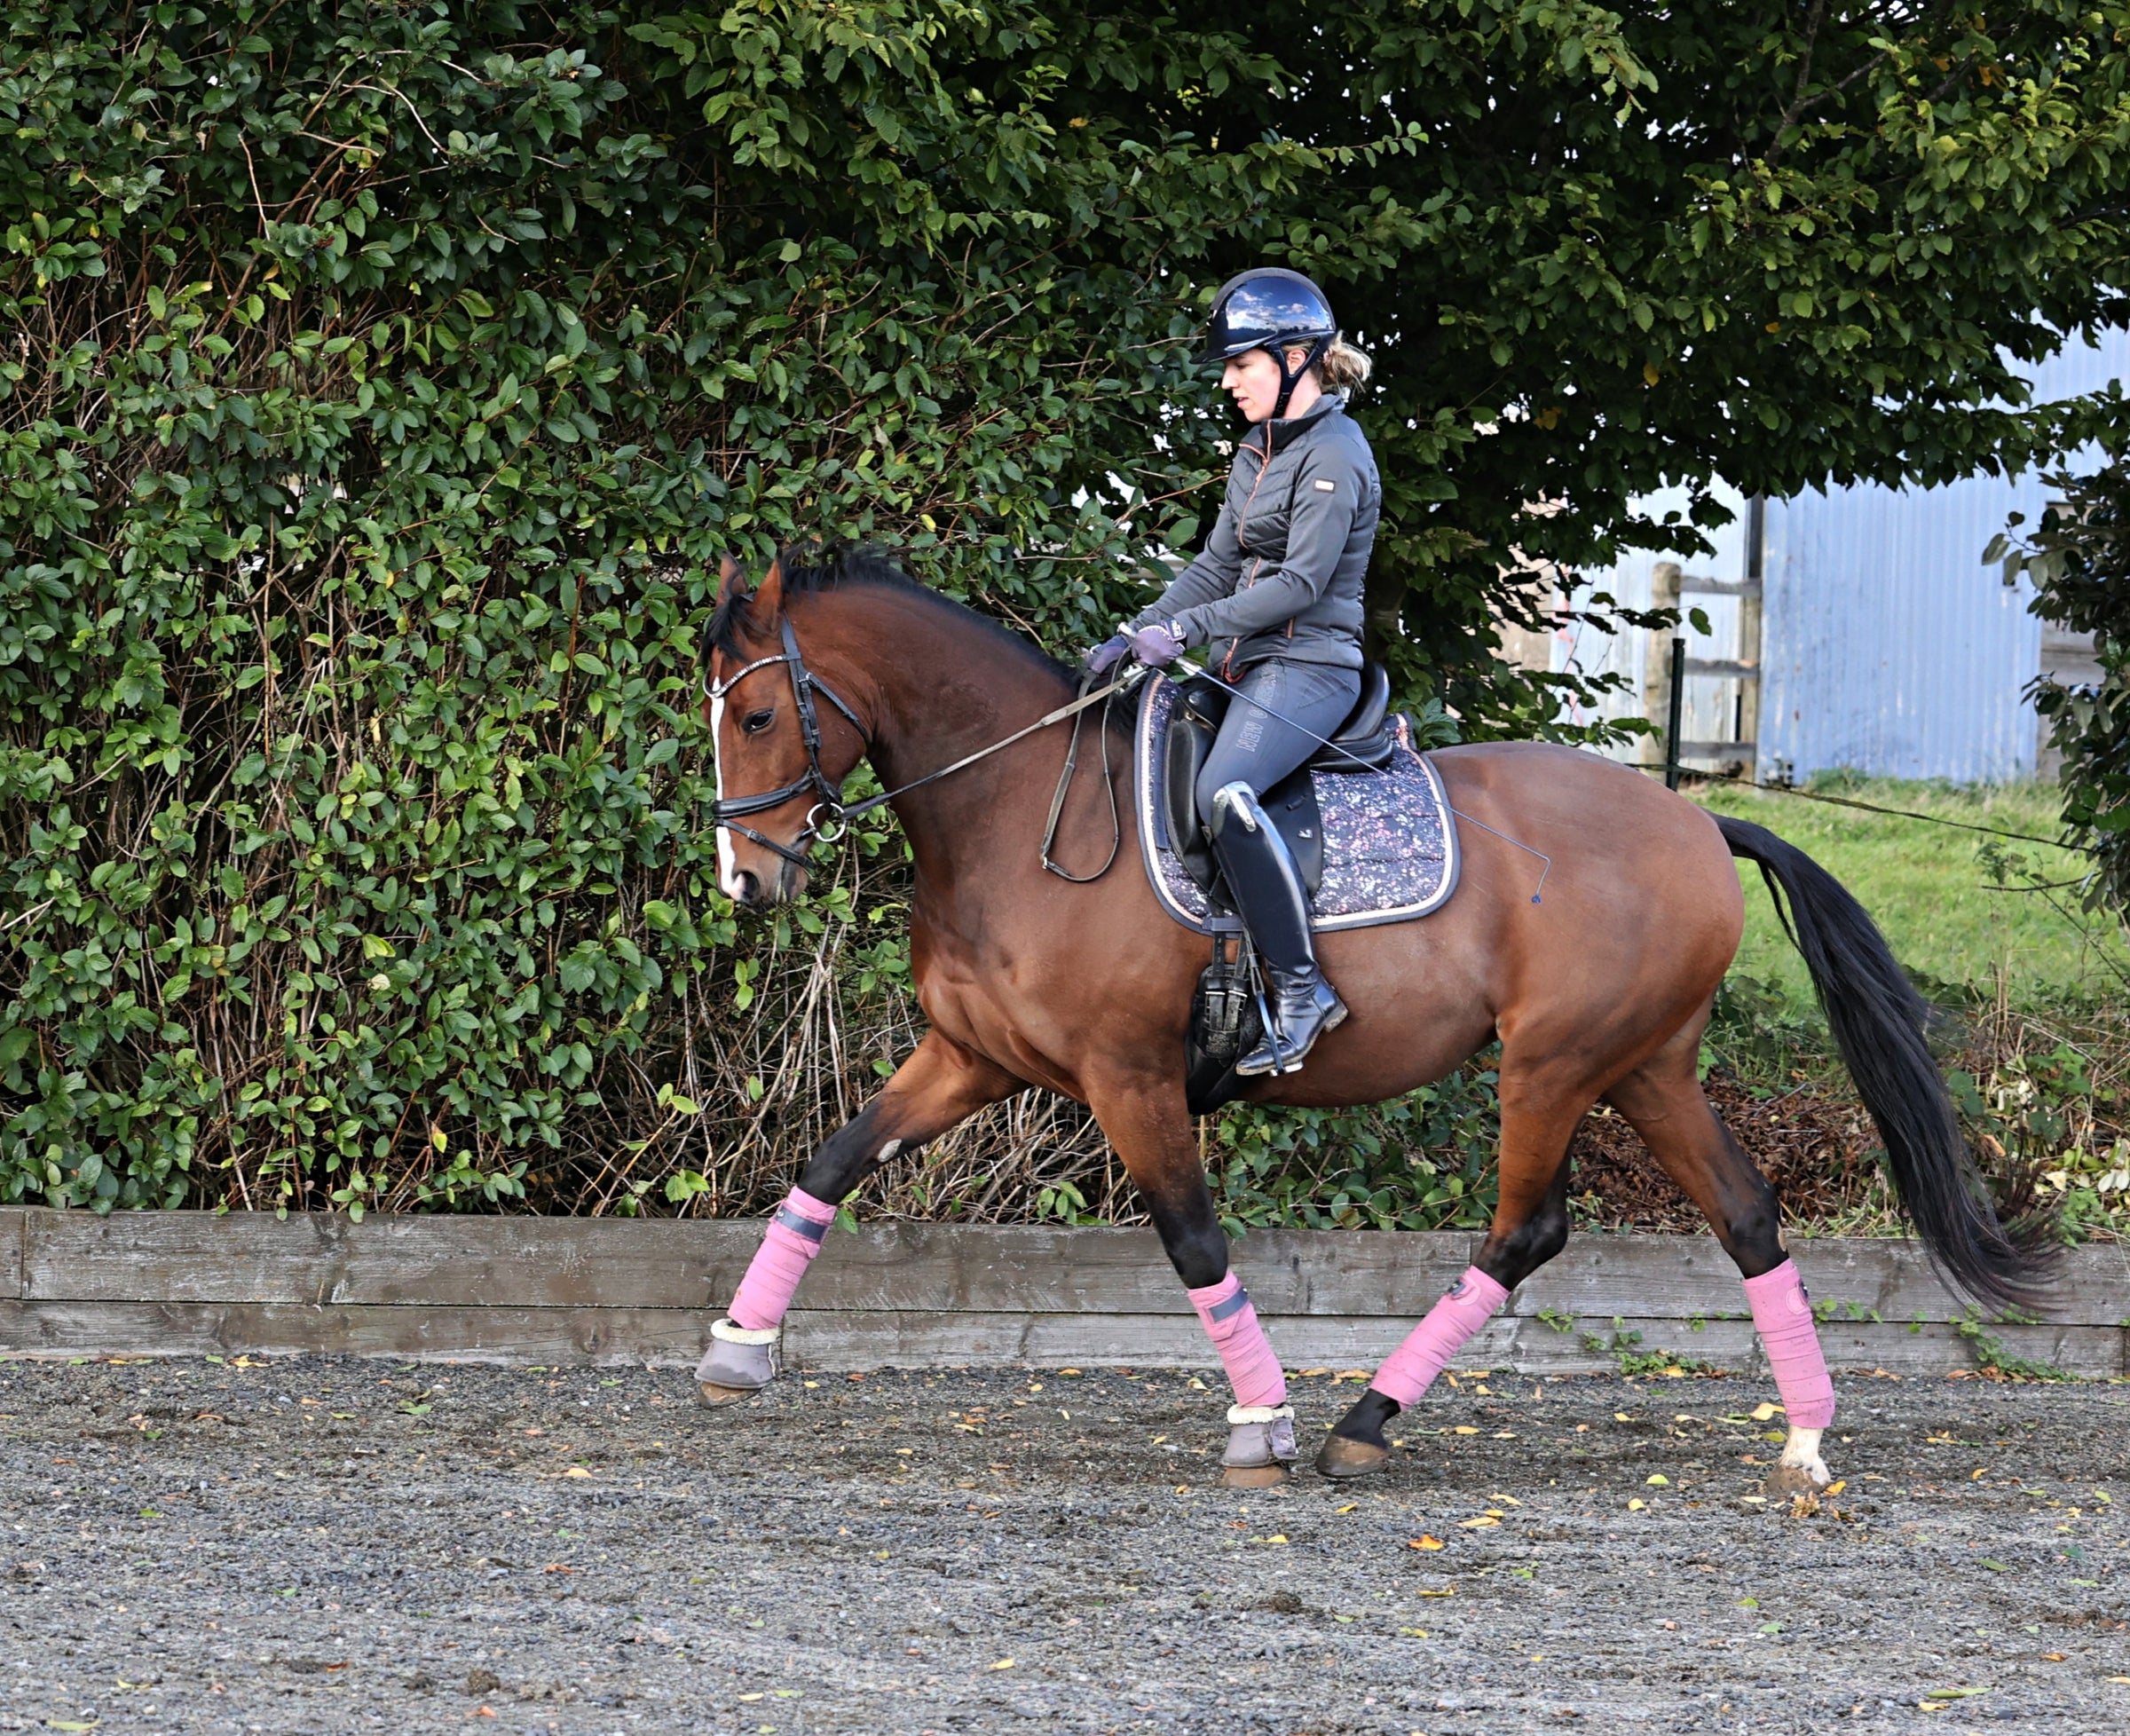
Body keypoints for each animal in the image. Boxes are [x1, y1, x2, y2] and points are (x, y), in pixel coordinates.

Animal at [694, 545, 2045, 1491]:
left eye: (757, 717)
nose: (746, 882)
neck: (1021, 805)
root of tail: (1693, 818)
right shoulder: (971, 1057)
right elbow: (831, 1160)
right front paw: (735, 1349)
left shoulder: (1129, 1078)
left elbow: (1193, 1241)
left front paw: (1263, 1422)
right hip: (1647, 1066)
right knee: (1748, 1216)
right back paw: (1806, 1441)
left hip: (1552, 1064)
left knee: (1528, 1229)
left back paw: (1362, 1423)